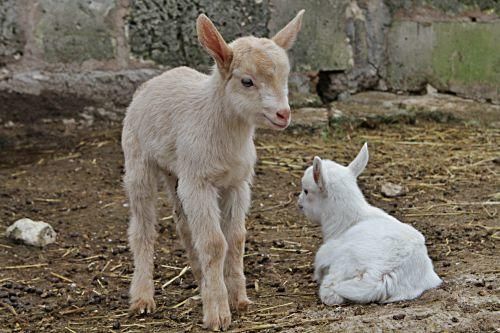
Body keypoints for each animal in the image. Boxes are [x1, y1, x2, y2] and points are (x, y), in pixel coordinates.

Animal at [122, 11, 304, 330]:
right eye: (247, 81)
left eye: (284, 77)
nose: (283, 114)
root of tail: (156, 79)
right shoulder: (200, 183)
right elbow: (214, 242)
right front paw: (218, 313)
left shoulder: (237, 183)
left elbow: (236, 238)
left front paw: (238, 299)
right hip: (137, 160)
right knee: (143, 230)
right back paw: (143, 298)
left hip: (177, 172)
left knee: (183, 225)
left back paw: (200, 280)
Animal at [296, 143, 442, 304]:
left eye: (306, 191)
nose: (299, 203)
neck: (348, 222)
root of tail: (381, 276)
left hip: (343, 261)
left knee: (330, 292)